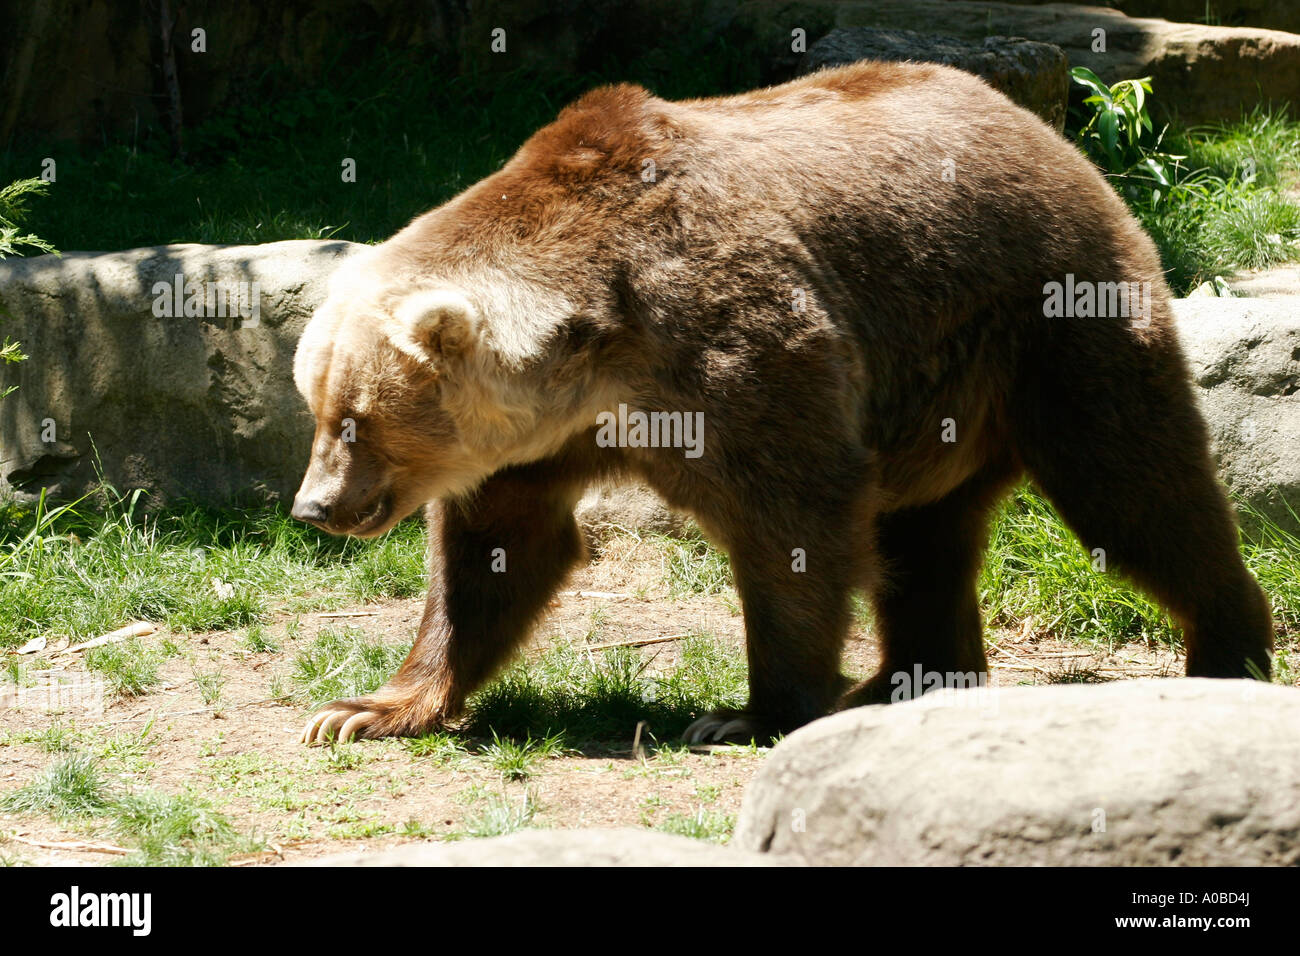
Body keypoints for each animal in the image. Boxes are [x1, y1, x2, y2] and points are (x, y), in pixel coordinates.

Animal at [291, 61, 1274, 746]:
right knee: (925, 535)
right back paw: (900, 682)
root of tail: (1046, 130)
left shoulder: (732, 344)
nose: (313, 506)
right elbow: (495, 551)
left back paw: (1228, 651)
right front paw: (365, 707)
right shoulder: (541, 437)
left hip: (1046, 323)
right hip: (933, 396)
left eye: (356, 421)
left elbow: (793, 517)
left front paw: (751, 711)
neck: (591, 349)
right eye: (319, 408)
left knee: (1134, 486)